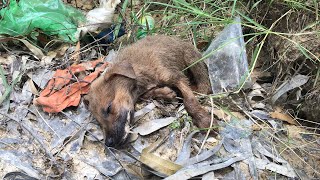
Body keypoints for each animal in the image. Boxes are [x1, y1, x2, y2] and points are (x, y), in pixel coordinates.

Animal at [84, 34, 218, 146]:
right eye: (98, 121)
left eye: (109, 108)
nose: (108, 143)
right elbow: (148, 94)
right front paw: (165, 93)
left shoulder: (176, 77)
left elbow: (189, 101)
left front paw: (204, 120)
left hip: (191, 57)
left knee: (204, 83)